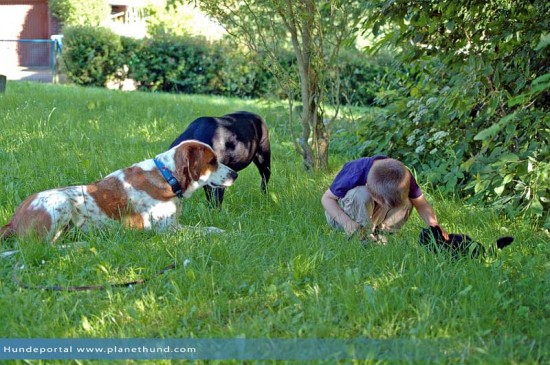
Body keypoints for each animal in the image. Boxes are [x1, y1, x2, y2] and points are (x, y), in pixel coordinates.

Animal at [0, 139, 237, 242]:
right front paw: (226, 232)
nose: (235, 174)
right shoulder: (165, 229)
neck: (167, 176)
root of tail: (13, 221)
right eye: (213, 161)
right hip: (62, 203)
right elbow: (204, 229)